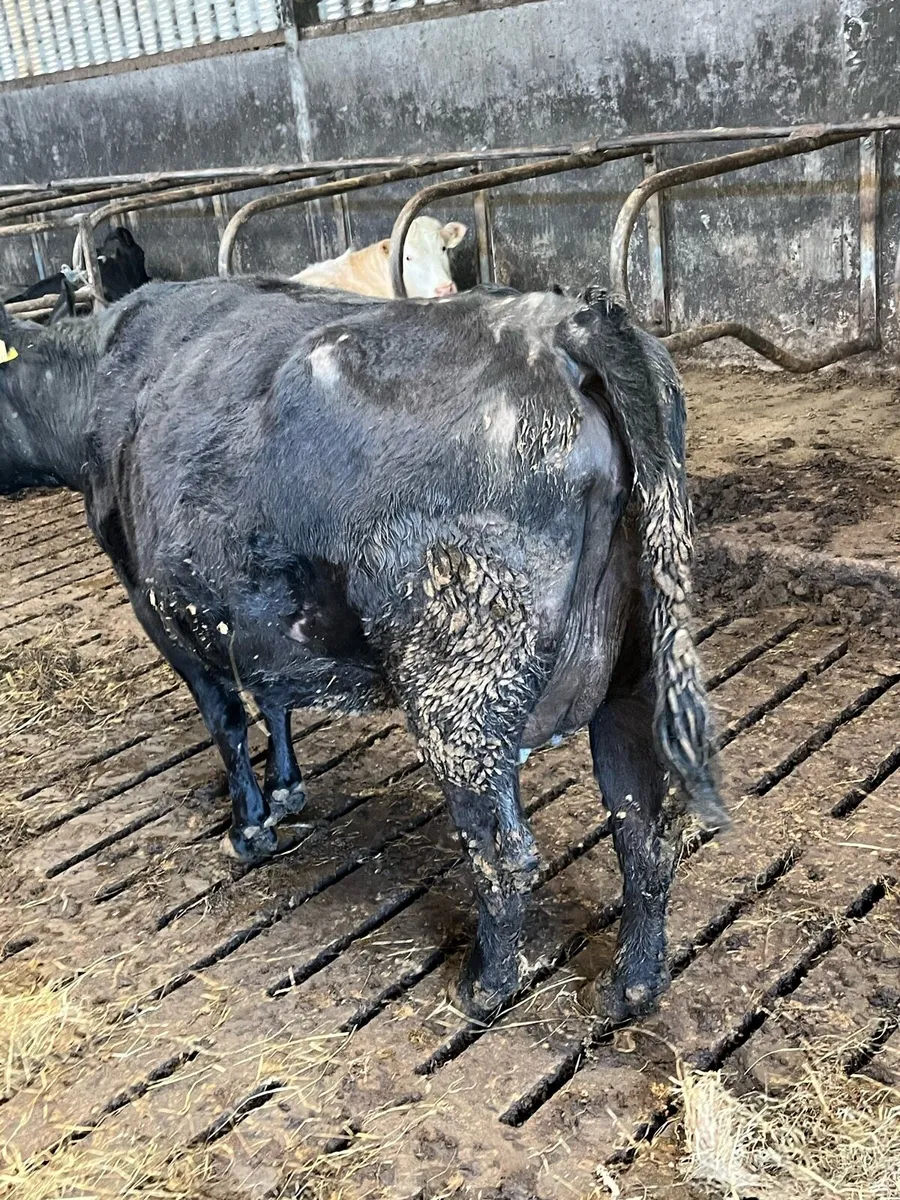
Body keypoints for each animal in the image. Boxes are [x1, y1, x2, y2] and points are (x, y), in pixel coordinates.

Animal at [0, 277, 726, 1021]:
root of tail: (569, 322)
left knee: (502, 851)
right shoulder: (255, 618)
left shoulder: (162, 609)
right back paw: (632, 986)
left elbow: (228, 721)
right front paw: (287, 788)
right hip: (635, 673)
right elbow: (274, 700)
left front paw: (249, 828)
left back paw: (485, 986)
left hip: (458, 690)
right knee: (644, 832)